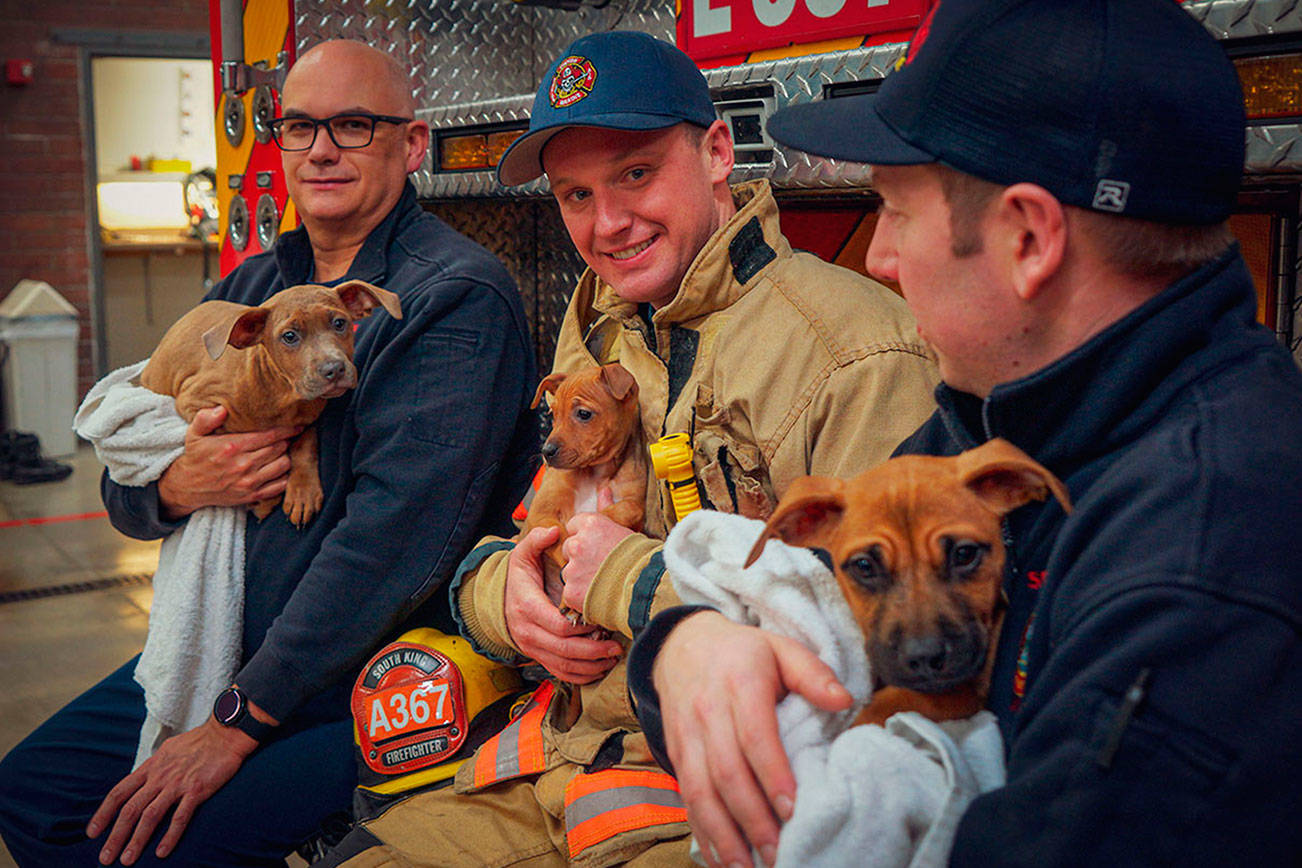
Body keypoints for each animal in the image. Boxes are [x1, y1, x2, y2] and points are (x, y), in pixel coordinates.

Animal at [139, 278, 398, 525]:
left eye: (339, 323)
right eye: (290, 336)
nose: (333, 369)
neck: (282, 395)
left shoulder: (307, 418)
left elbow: (305, 443)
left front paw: (303, 491)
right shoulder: (194, 401)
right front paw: (267, 497)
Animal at [523, 361, 645, 611]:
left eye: (583, 414)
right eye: (553, 415)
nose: (546, 452)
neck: (594, 473)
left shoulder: (633, 502)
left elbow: (629, 508)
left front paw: (599, 518)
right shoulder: (540, 514)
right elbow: (560, 535)